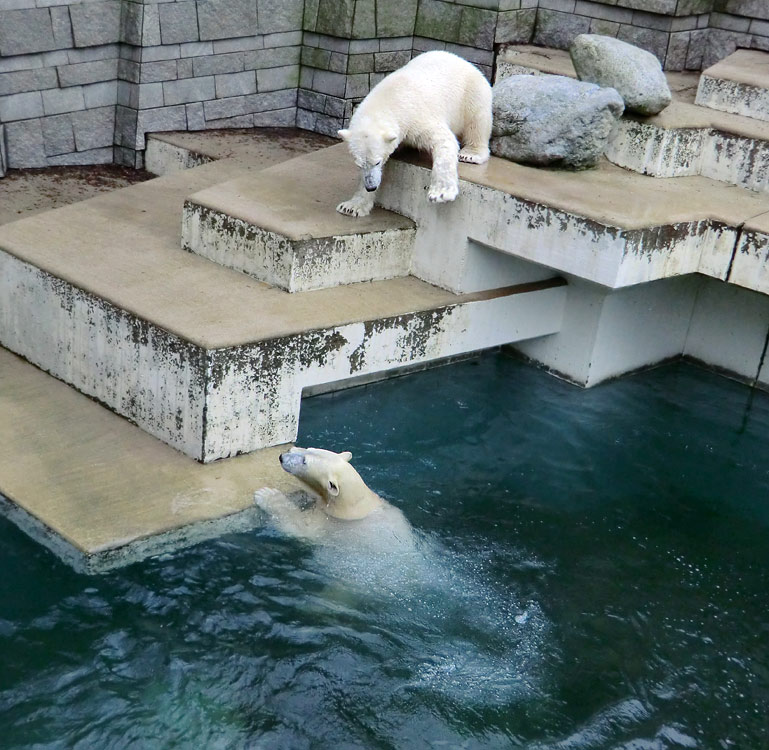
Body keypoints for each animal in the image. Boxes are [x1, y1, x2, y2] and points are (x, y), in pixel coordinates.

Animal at [336, 50, 492, 217]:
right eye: (359, 164)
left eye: (377, 161)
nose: (370, 186)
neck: (390, 98)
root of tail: (462, 60)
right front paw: (351, 206)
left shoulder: (416, 117)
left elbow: (444, 141)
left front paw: (440, 193)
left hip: (471, 92)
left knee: (477, 120)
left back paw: (471, 153)